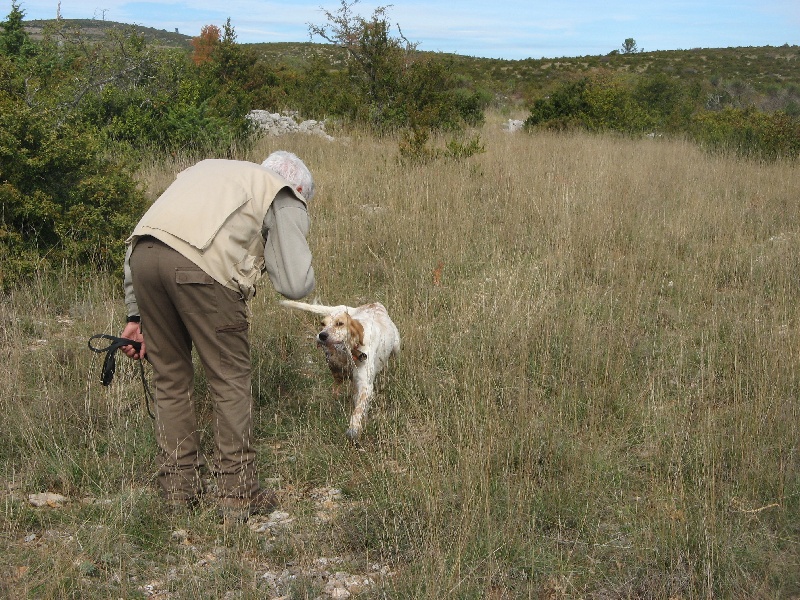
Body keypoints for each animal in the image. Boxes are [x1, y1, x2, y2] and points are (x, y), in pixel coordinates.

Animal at [280, 300, 400, 440]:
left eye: (340, 323)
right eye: (322, 324)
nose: (322, 335)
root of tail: (374, 303)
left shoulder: (365, 384)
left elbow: (358, 409)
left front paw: (354, 428)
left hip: (396, 346)